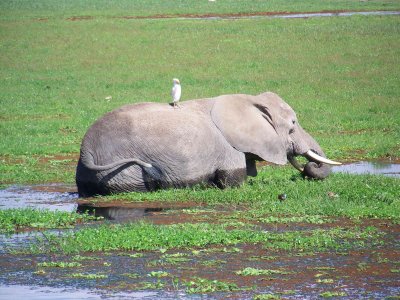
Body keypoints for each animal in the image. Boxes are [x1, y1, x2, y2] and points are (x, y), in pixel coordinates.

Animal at [76, 92, 340, 198]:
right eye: (293, 125)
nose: (307, 170)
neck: (249, 100)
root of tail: (86, 147)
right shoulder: (228, 149)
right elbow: (233, 180)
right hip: (121, 169)